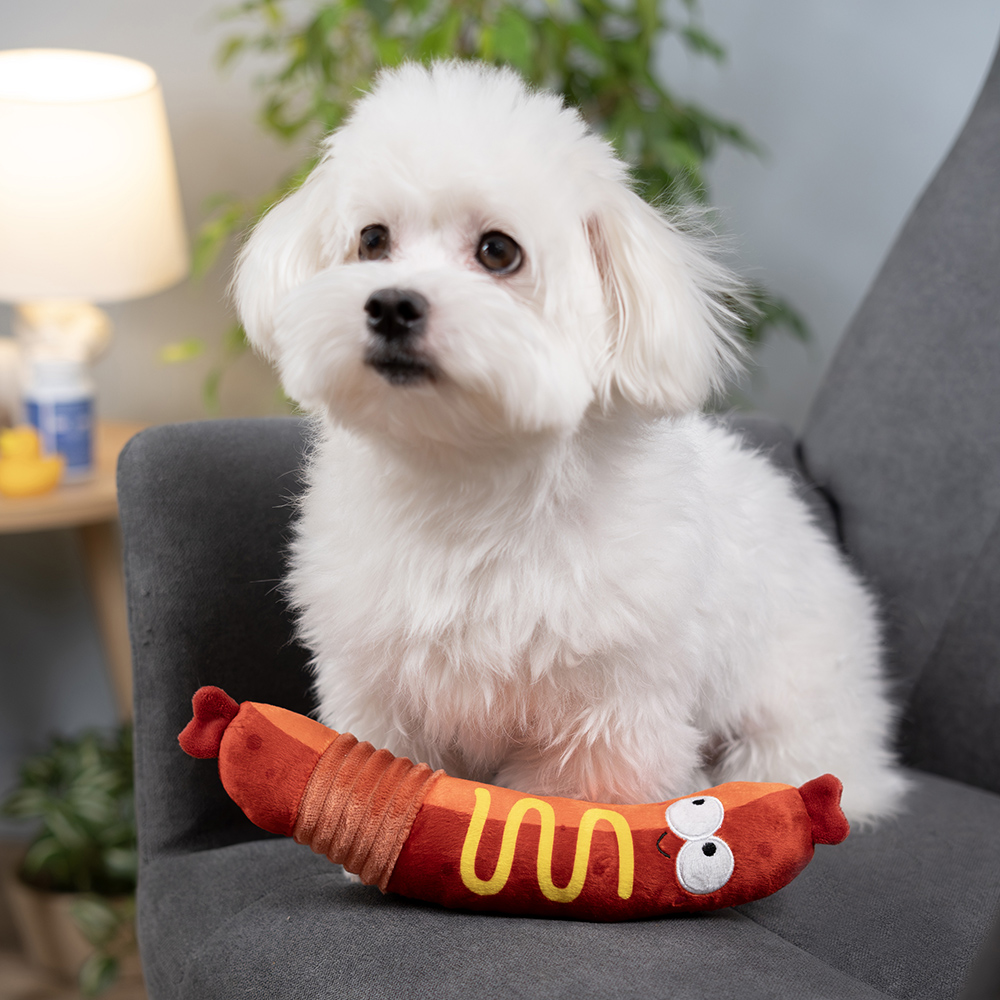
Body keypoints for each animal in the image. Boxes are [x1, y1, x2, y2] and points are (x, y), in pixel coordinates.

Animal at [234, 60, 907, 825]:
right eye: (372, 240)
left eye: (498, 251)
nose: (392, 305)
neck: (471, 482)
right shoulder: (379, 685)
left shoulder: (606, 721)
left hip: (788, 730)